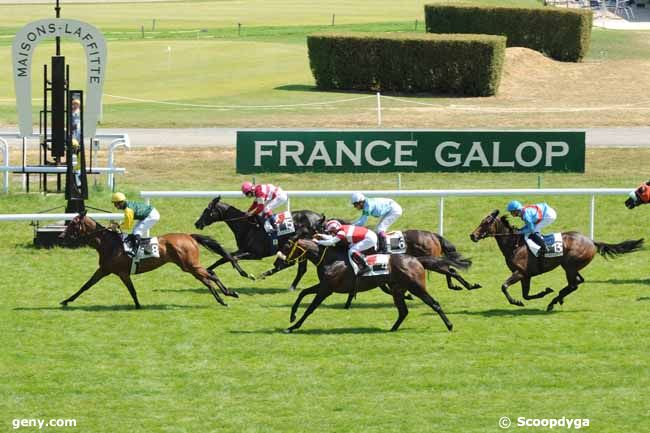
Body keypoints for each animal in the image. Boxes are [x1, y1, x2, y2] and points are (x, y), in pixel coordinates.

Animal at [58, 212, 238, 308]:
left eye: (73, 224)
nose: (60, 236)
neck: (109, 244)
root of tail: (189, 236)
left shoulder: (120, 272)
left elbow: (131, 290)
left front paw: (138, 305)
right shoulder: (105, 270)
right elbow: (86, 286)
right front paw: (66, 300)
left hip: (190, 265)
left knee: (211, 275)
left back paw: (228, 294)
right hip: (190, 266)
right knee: (208, 278)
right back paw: (224, 297)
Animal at [192, 196, 324, 286]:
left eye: (206, 211)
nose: (197, 223)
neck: (247, 226)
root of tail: (320, 218)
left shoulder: (256, 254)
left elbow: (232, 258)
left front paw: (246, 274)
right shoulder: (243, 249)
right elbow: (225, 257)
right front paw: (208, 269)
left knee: (292, 265)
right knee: (294, 266)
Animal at [280, 238, 460, 332]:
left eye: (288, 246)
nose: (282, 260)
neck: (329, 259)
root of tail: (415, 259)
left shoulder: (326, 289)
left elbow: (310, 308)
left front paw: (293, 326)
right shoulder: (324, 286)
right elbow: (302, 293)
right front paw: (292, 316)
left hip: (416, 287)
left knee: (434, 304)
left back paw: (450, 325)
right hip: (398, 289)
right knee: (403, 311)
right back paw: (392, 329)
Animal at [468, 209, 640, 310]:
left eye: (486, 222)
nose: (472, 235)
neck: (515, 244)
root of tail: (591, 241)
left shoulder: (520, 272)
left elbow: (504, 287)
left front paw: (516, 301)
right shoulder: (526, 275)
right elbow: (526, 295)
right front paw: (544, 292)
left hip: (569, 266)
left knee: (573, 285)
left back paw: (555, 300)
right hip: (571, 266)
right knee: (578, 281)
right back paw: (558, 298)